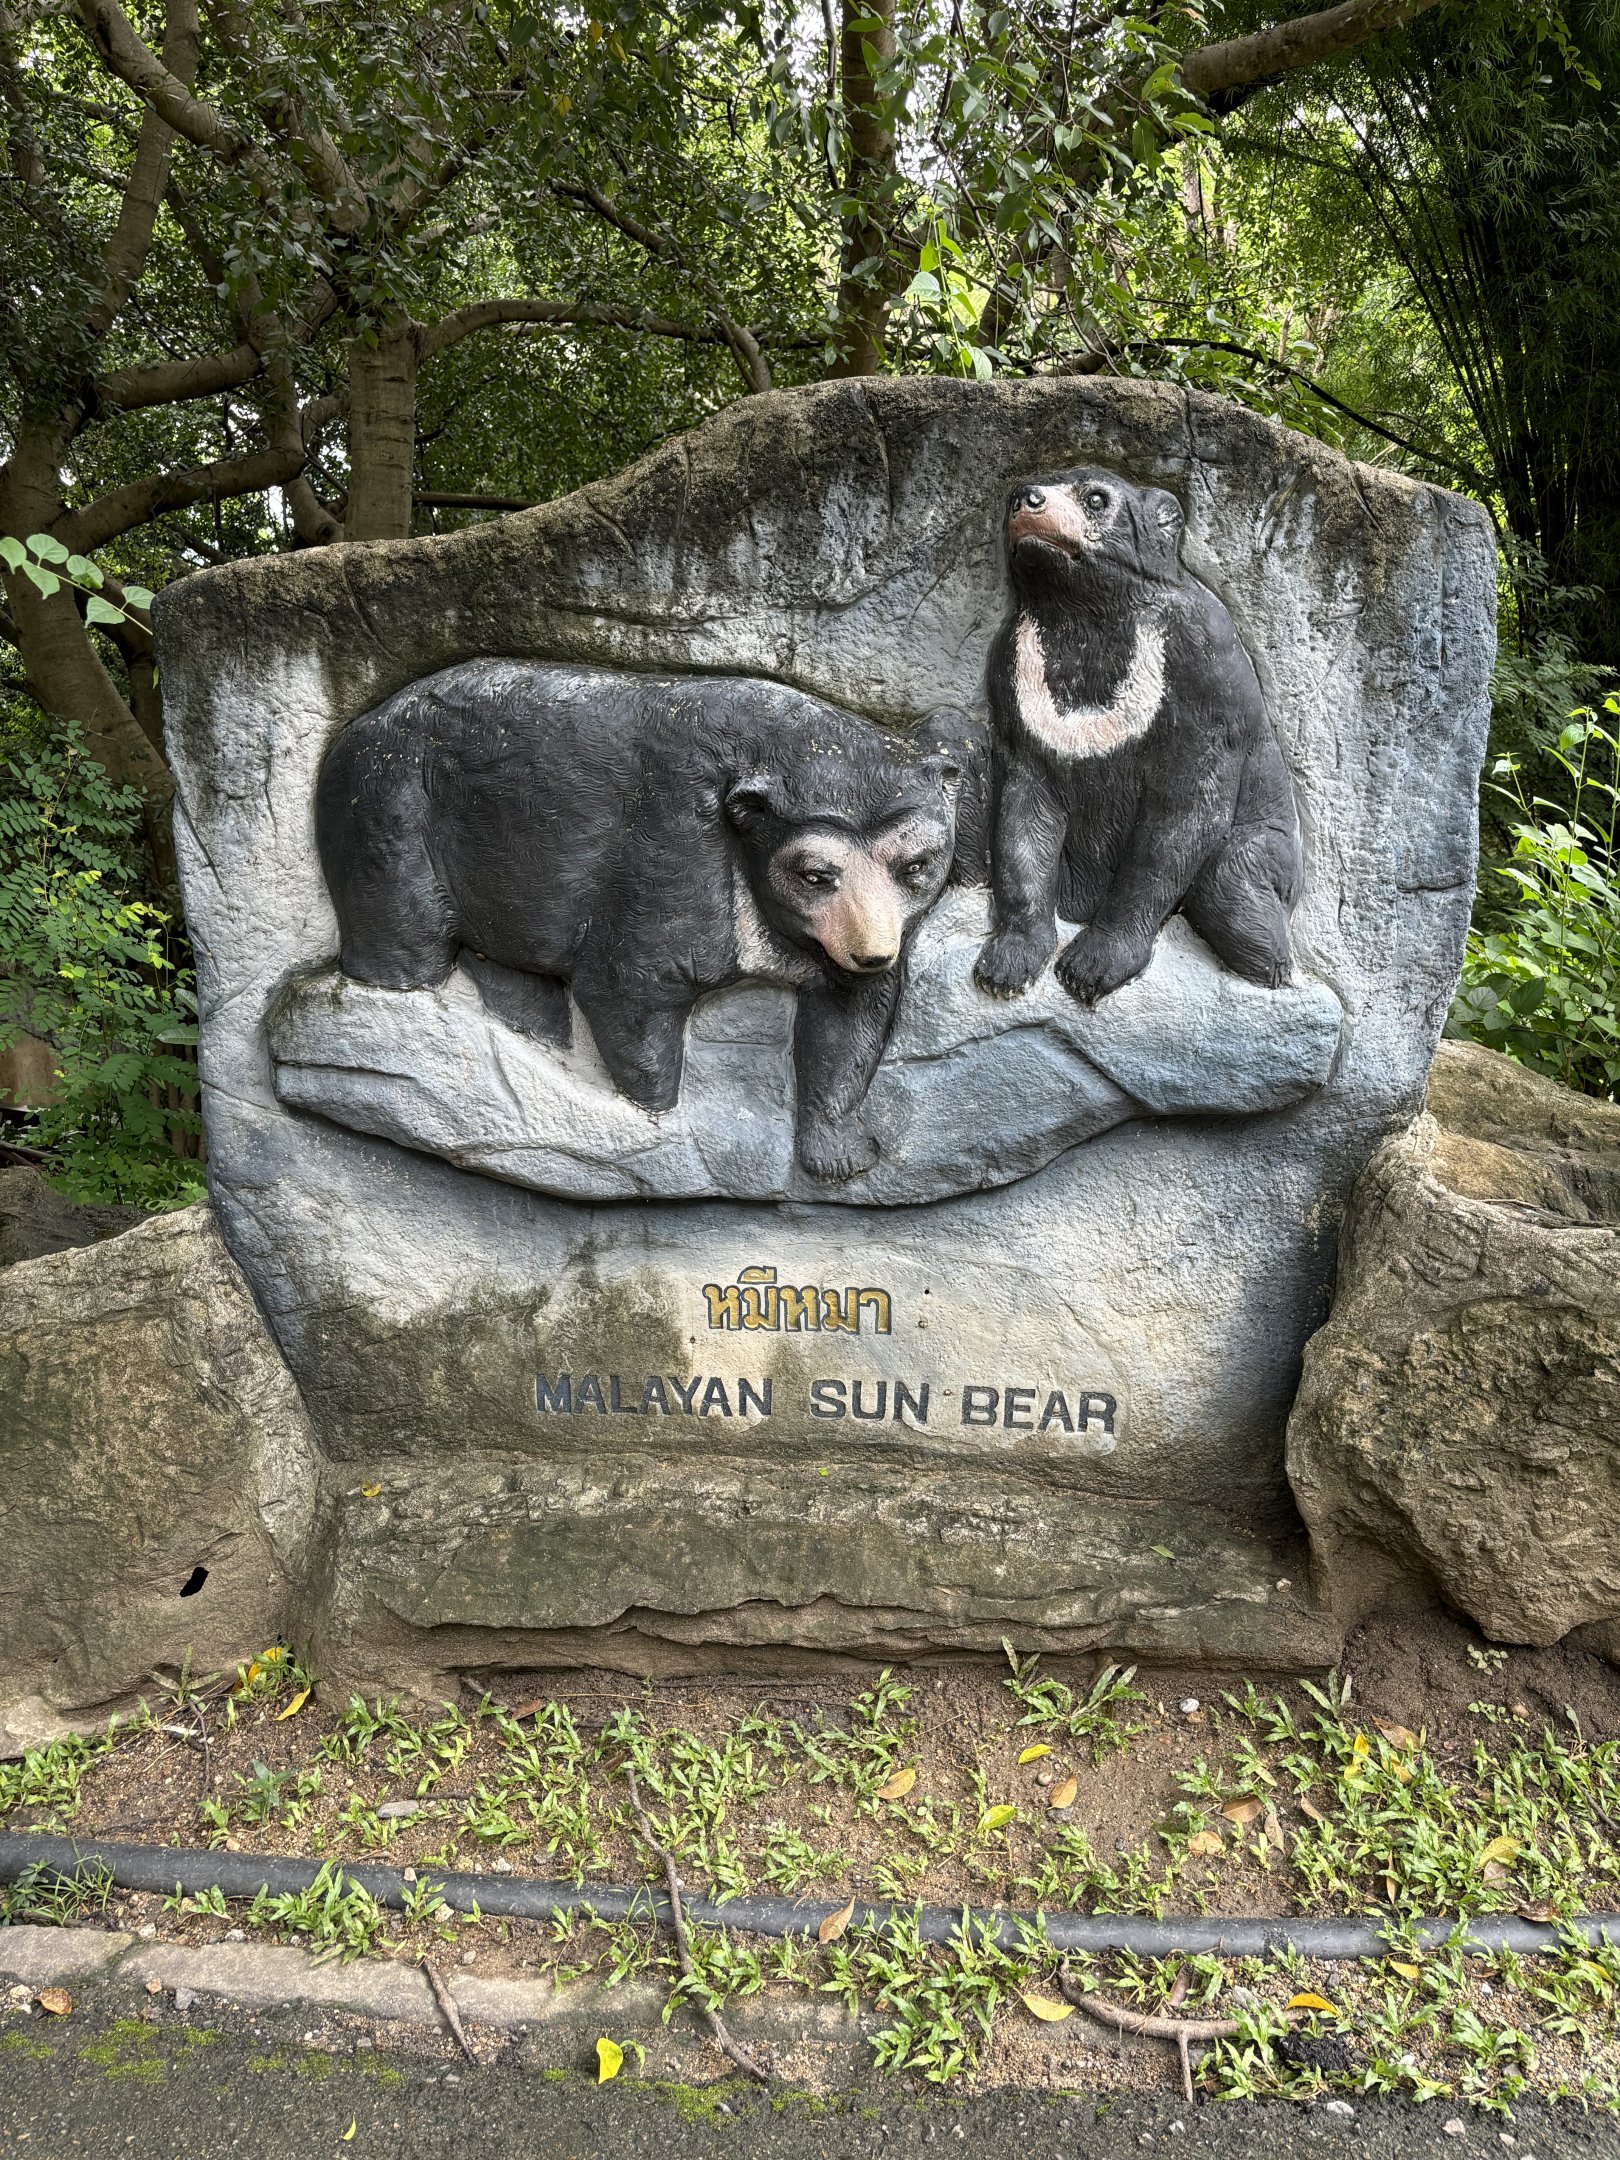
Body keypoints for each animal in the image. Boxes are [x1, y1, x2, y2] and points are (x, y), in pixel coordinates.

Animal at [313, 659, 982, 1184]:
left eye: (916, 866)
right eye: (815, 875)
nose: (873, 951)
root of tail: (356, 729)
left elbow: (849, 1017)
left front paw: (839, 1153)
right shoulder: (674, 849)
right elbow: (629, 987)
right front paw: (653, 1128)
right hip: (387, 816)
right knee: (406, 943)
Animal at [973, 464, 1303, 1009]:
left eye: (1096, 499)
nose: (1025, 497)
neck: (1085, 612)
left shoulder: (1203, 669)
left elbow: (1180, 817)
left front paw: (1089, 967)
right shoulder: (1015, 673)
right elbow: (1024, 816)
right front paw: (1006, 965)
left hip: (1272, 848)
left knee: (1234, 885)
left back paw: (1274, 970)